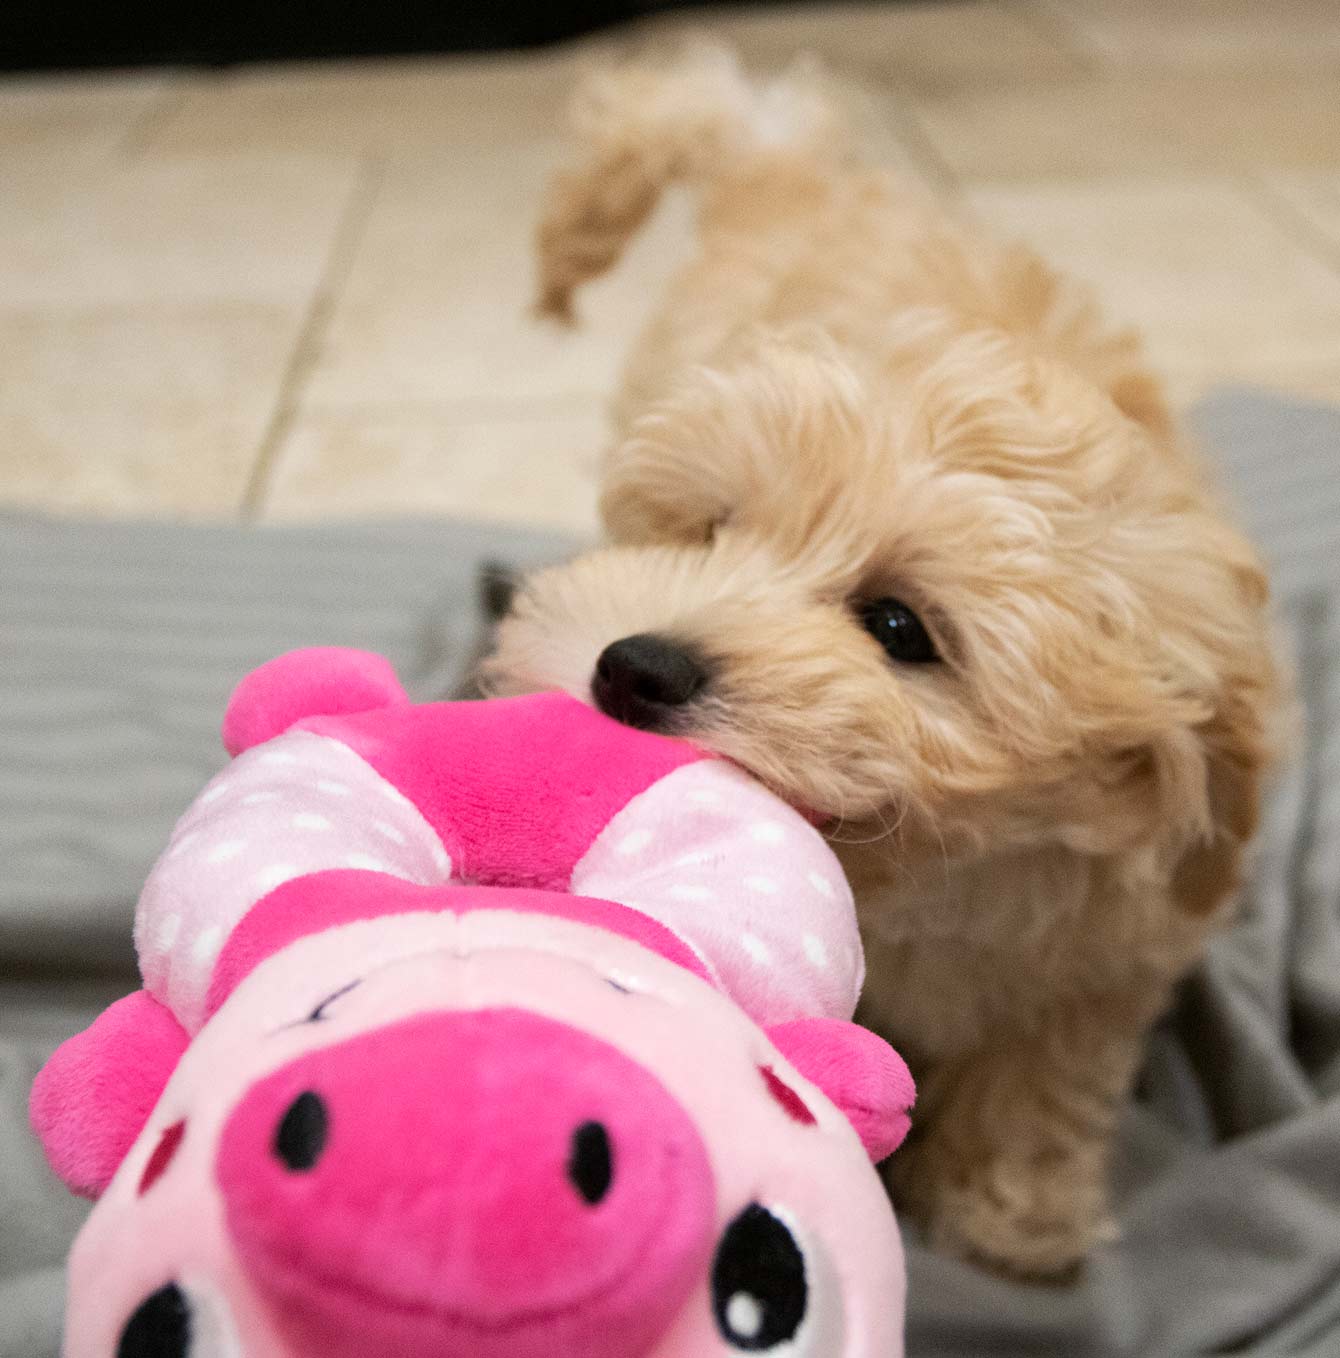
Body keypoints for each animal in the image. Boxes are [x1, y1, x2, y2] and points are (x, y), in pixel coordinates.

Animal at [486, 50, 1281, 1281]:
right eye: (707, 532)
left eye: (900, 628)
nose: (633, 667)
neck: (919, 881)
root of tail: (792, 163)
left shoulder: (1109, 951)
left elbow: (1039, 1072)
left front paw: (1013, 1218)